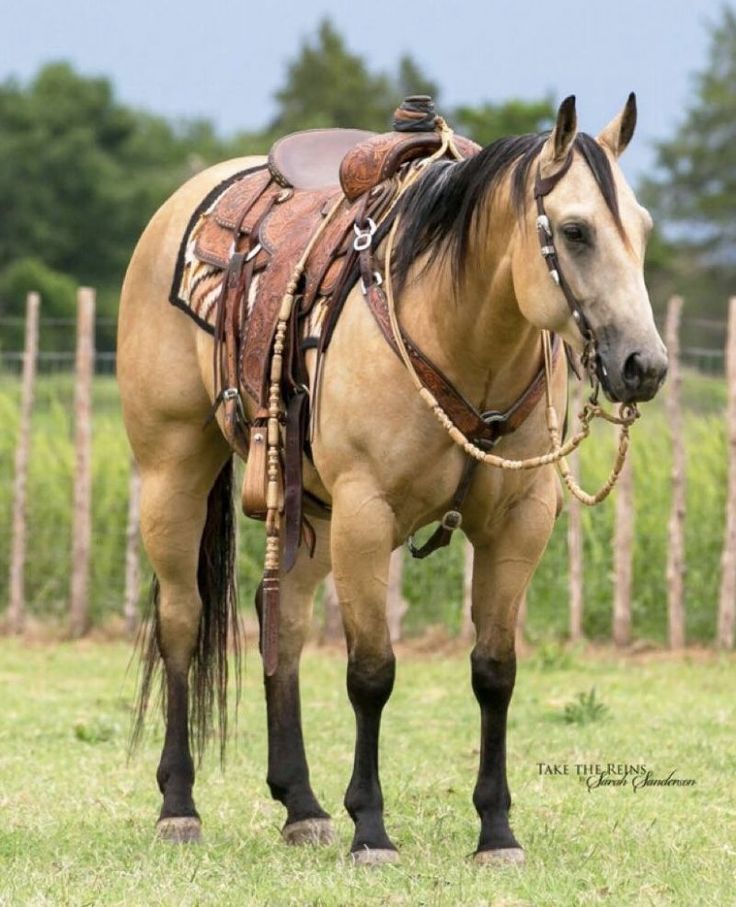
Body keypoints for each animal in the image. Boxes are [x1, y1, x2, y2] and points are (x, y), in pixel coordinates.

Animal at [116, 92, 668, 864]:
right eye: (576, 230)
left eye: (641, 228)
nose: (644, 365)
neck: (458, 333)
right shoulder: (365, 513)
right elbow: (372, 673)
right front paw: (371, 829)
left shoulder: (519, 524)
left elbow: (495, 671)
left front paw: (496, 831)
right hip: (174, 466)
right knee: (181, 620)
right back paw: (179, 805)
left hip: (308, 512)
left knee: (281, 621)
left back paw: (301, 805)